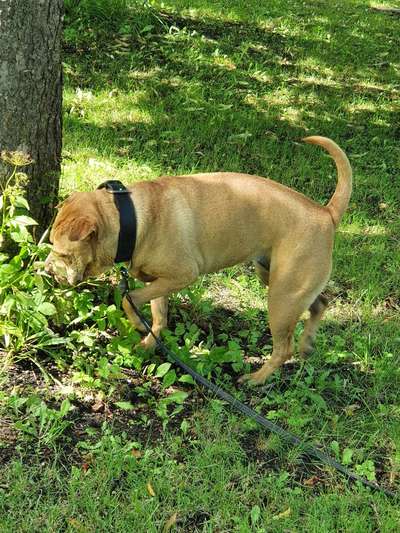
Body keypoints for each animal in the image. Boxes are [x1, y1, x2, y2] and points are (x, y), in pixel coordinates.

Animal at [47, 136, 352, 382]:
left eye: (62, 253)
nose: (48, 270)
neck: (129, 218)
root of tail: (326, 213)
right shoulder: (160, 282)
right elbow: (158, 316)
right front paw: (149, 343)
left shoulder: (181, 276)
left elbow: (128, 298)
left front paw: (137, 324)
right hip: (280, 281)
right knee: (321, 303)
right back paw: (307, 344)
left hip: (282, 297)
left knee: (283, 348)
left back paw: (256, 378)